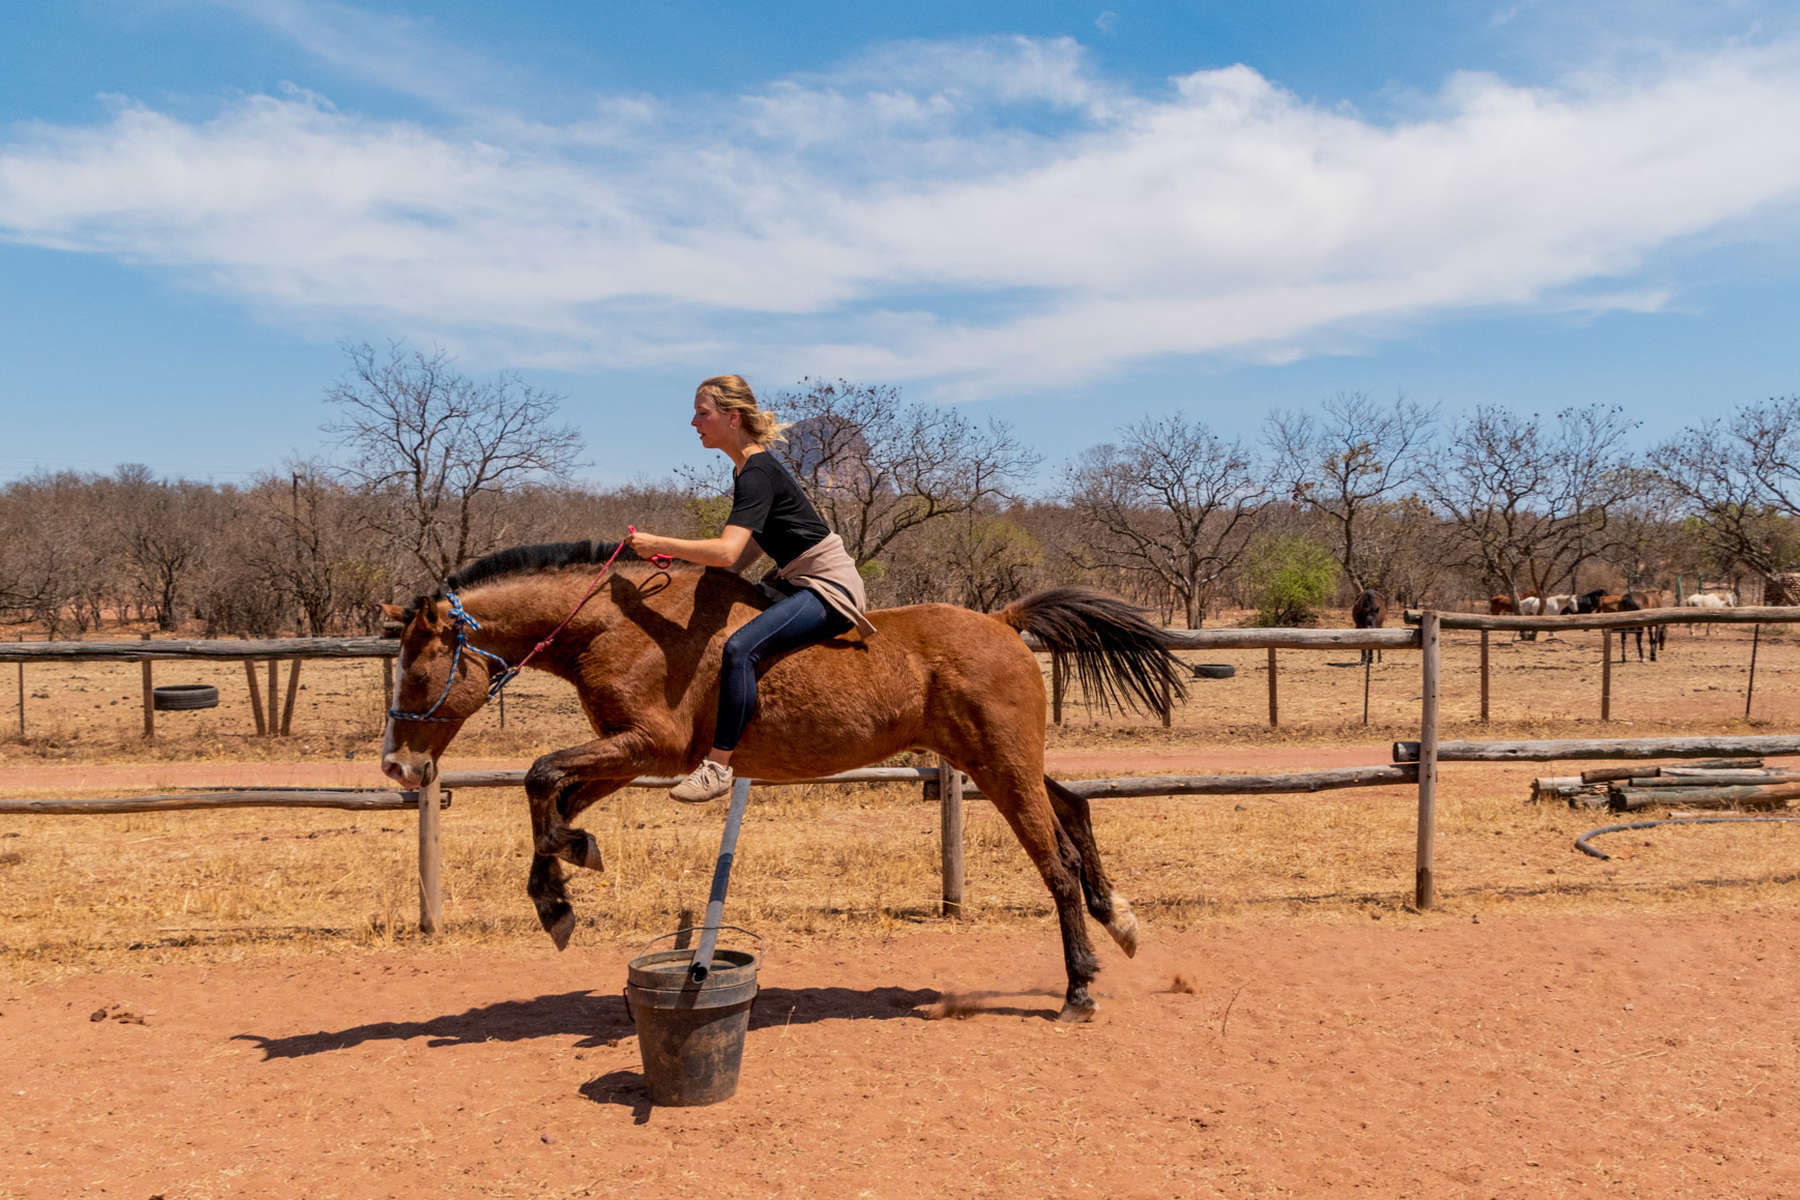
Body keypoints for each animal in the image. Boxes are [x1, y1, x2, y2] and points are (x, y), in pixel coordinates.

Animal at [379, 543, 1180, 1021]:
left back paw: (1079, 988)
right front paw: (560, 886)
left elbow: (541, 774)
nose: (398, 767)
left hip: (1000, 766)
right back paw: (1120, 921)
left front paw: (561, 885)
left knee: (1058, 864)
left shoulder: (652, 748)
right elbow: (550, 798)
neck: (618, 627)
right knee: (1075, 809)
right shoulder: (631, 756)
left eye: (416, 670)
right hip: (1000, 762)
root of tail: (1005, 622)